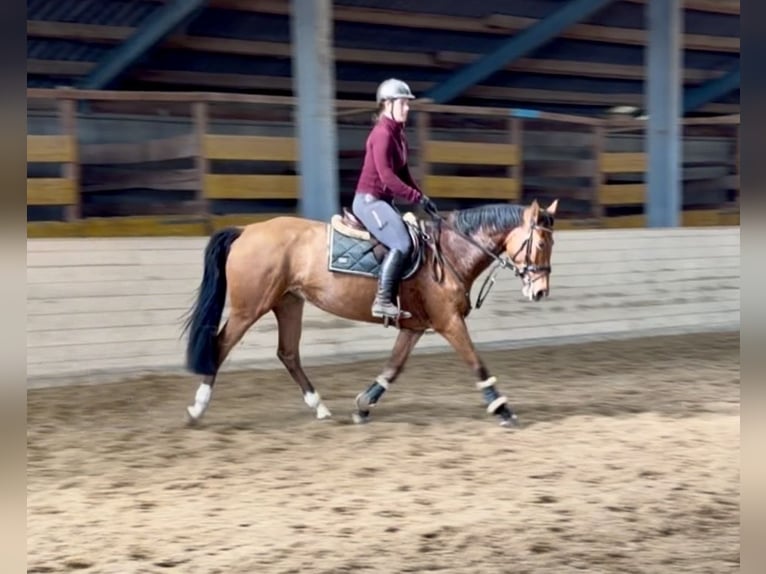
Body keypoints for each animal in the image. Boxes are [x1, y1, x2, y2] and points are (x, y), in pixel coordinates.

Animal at [182, 198, 558, 427]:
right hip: (250, 307)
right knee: (220, 345)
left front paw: (364, 404)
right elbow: (476, 363)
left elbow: (393, 367)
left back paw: (320, 407)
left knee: (288, 353)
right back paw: (197, 407)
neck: (450, 251)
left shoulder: (415, 326)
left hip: (287, 303)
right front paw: (503, 408)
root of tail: (246, 230)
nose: (540, 291)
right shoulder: (449, 322)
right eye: (540, 243)